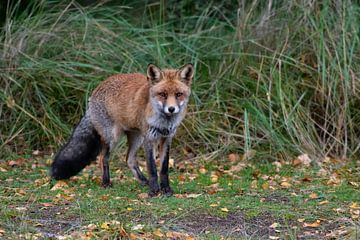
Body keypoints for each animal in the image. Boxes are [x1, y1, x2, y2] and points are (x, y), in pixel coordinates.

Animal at [50, 62, 194, 196]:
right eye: (162, 94)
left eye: (179, 94)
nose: (171, 109)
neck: (164, 122)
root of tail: (96, 89)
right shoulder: (149, 139)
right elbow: (152, 169)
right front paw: (154, 191)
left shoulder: (166, 139)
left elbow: (163, 169)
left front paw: (166, 189)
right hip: (112, 137)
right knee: (103, 159)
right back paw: (106, 183)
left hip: (137, 138)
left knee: (129, 159)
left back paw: (143, 181)